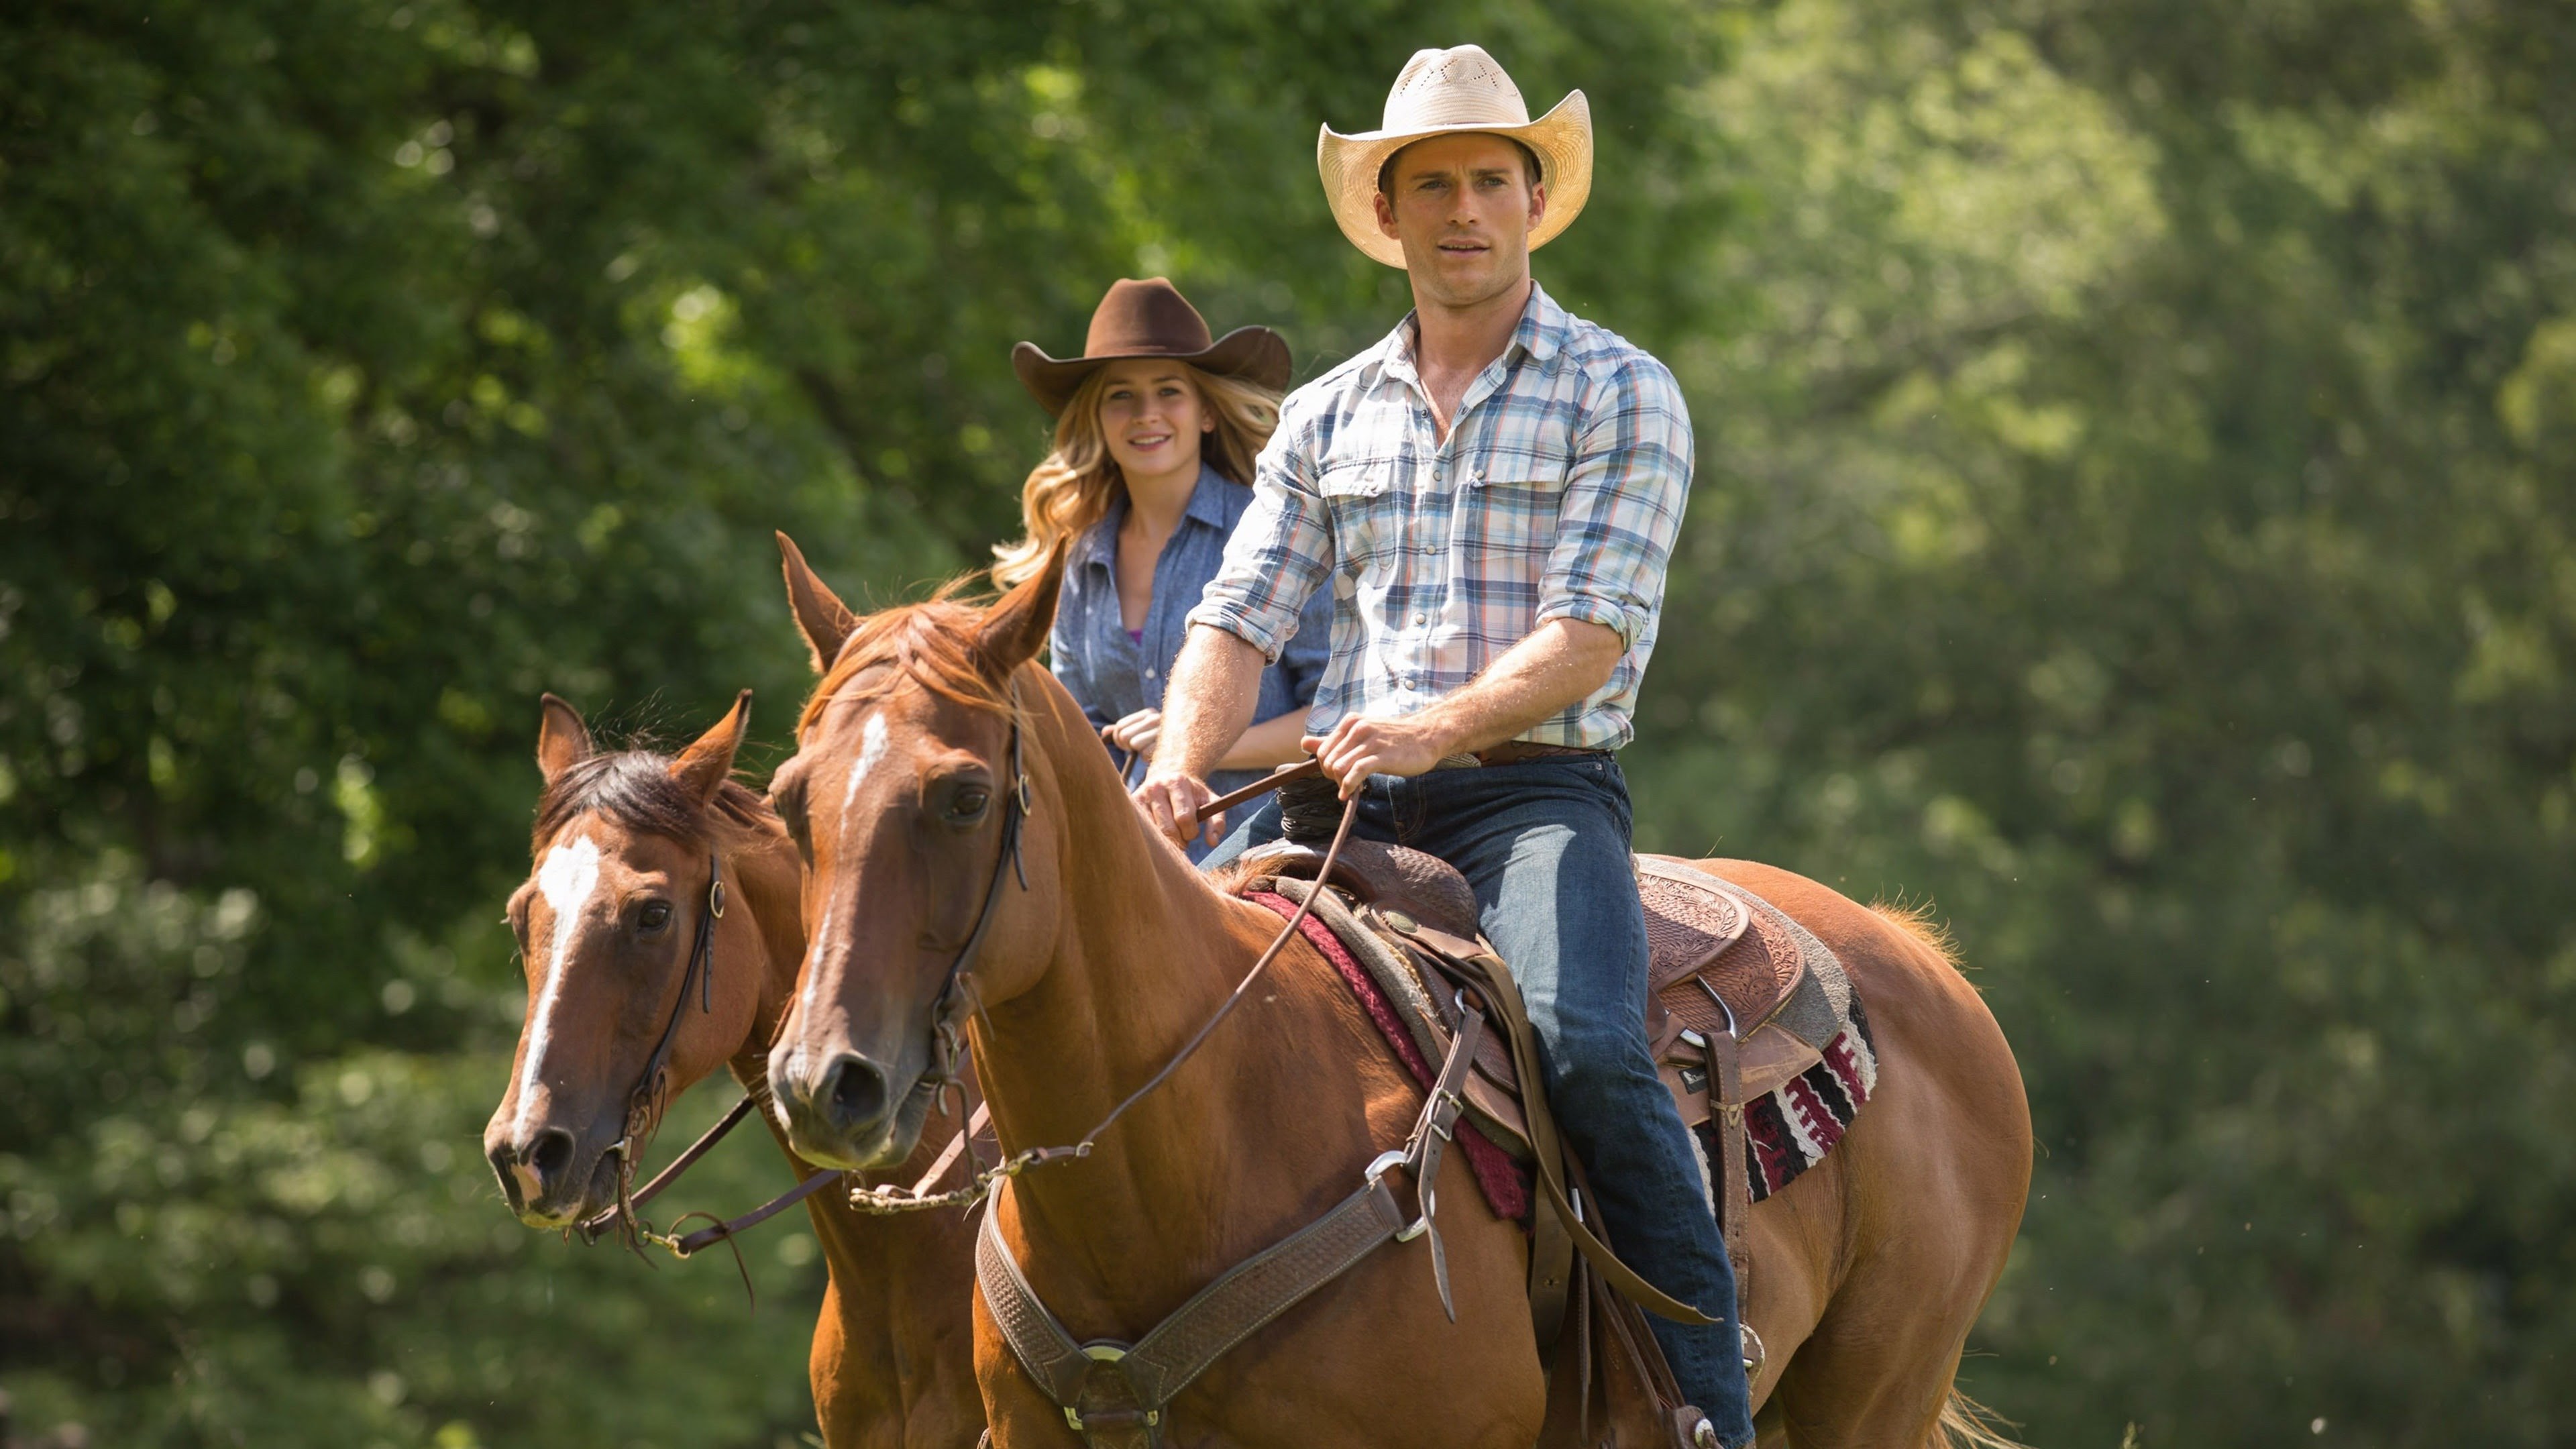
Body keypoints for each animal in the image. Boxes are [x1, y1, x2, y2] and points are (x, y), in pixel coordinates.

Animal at [762, 541, 2029, 1444]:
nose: (825, 1081)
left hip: (1874, 1399)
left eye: (965, 796)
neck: (1194, 1144)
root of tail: (1919, 956)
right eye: (789, 797)